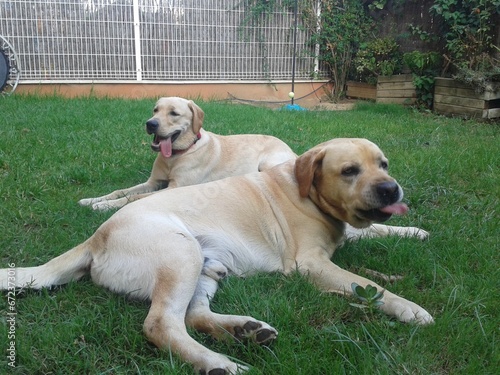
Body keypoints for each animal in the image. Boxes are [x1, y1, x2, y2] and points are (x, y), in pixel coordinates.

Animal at [0, 140, 432, 375]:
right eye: (349, 170)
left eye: (384, 164)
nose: (392, 189)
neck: (306, 189)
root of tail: (96, 236)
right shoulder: (310, 263)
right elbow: (368, 284)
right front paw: (408, 307)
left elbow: (375, 232)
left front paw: (415, 232)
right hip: (181, 253)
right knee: (161, 324)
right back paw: (220, 362)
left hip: (208, 265)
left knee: (193, 315)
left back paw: (245, 331)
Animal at [79, 96, 296, 212]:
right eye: (155, 110)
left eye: (174, 113)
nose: (150, 124)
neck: (176, 156)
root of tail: (291, 150)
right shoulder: (153, 182)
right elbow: (121, 191)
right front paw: (93, 200)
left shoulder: (173, 187)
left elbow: (133, 198)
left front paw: (104, 206)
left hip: (267, 163)